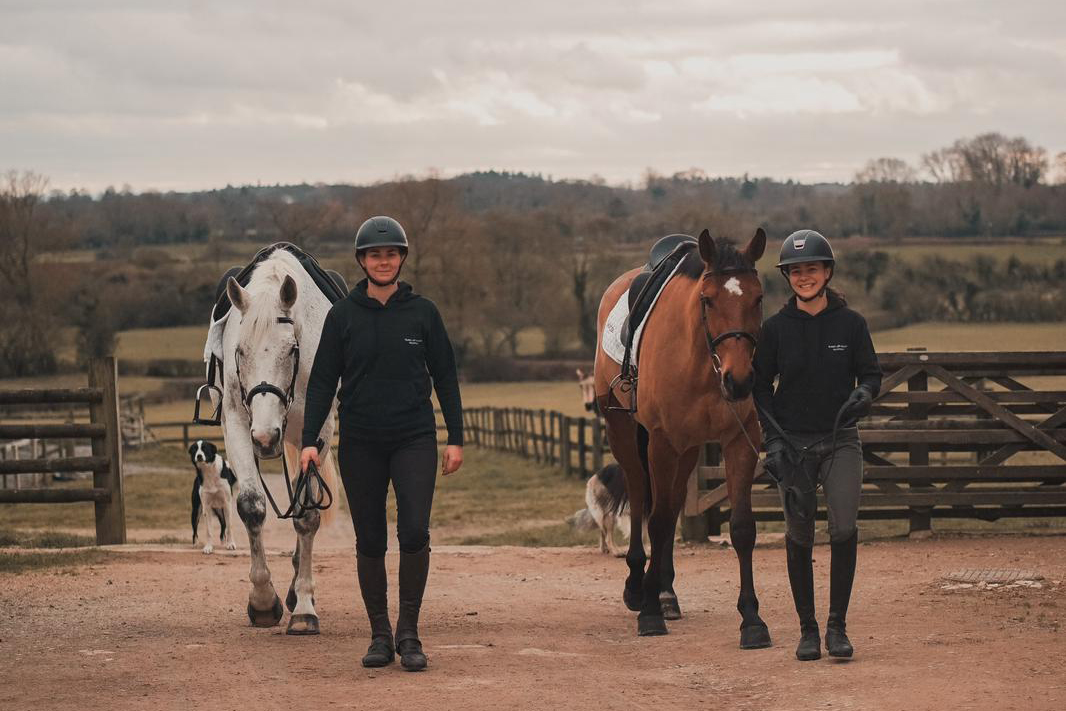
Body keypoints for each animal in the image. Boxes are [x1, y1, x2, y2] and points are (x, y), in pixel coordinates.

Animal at [218, 249, 340, 635]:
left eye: (291, 350)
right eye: (240, 351)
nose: (266, 436)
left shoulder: (316, 433)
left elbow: (306, 515)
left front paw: (303, 607)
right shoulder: (237, 424)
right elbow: (251, 507)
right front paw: (262, 602)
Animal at [593, 227, 771, 645]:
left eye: (758, 298)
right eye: (708, 300)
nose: (740, 381)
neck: (703, 362)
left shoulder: (740, 442)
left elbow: (741, 528)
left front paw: (752, 619)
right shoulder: (660, 442)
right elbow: (656, 522)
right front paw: (649, 615)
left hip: (687, 450)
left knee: (671, 504)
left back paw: (664, 591)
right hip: (625, 433)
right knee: (641, 496)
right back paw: (637, 587)